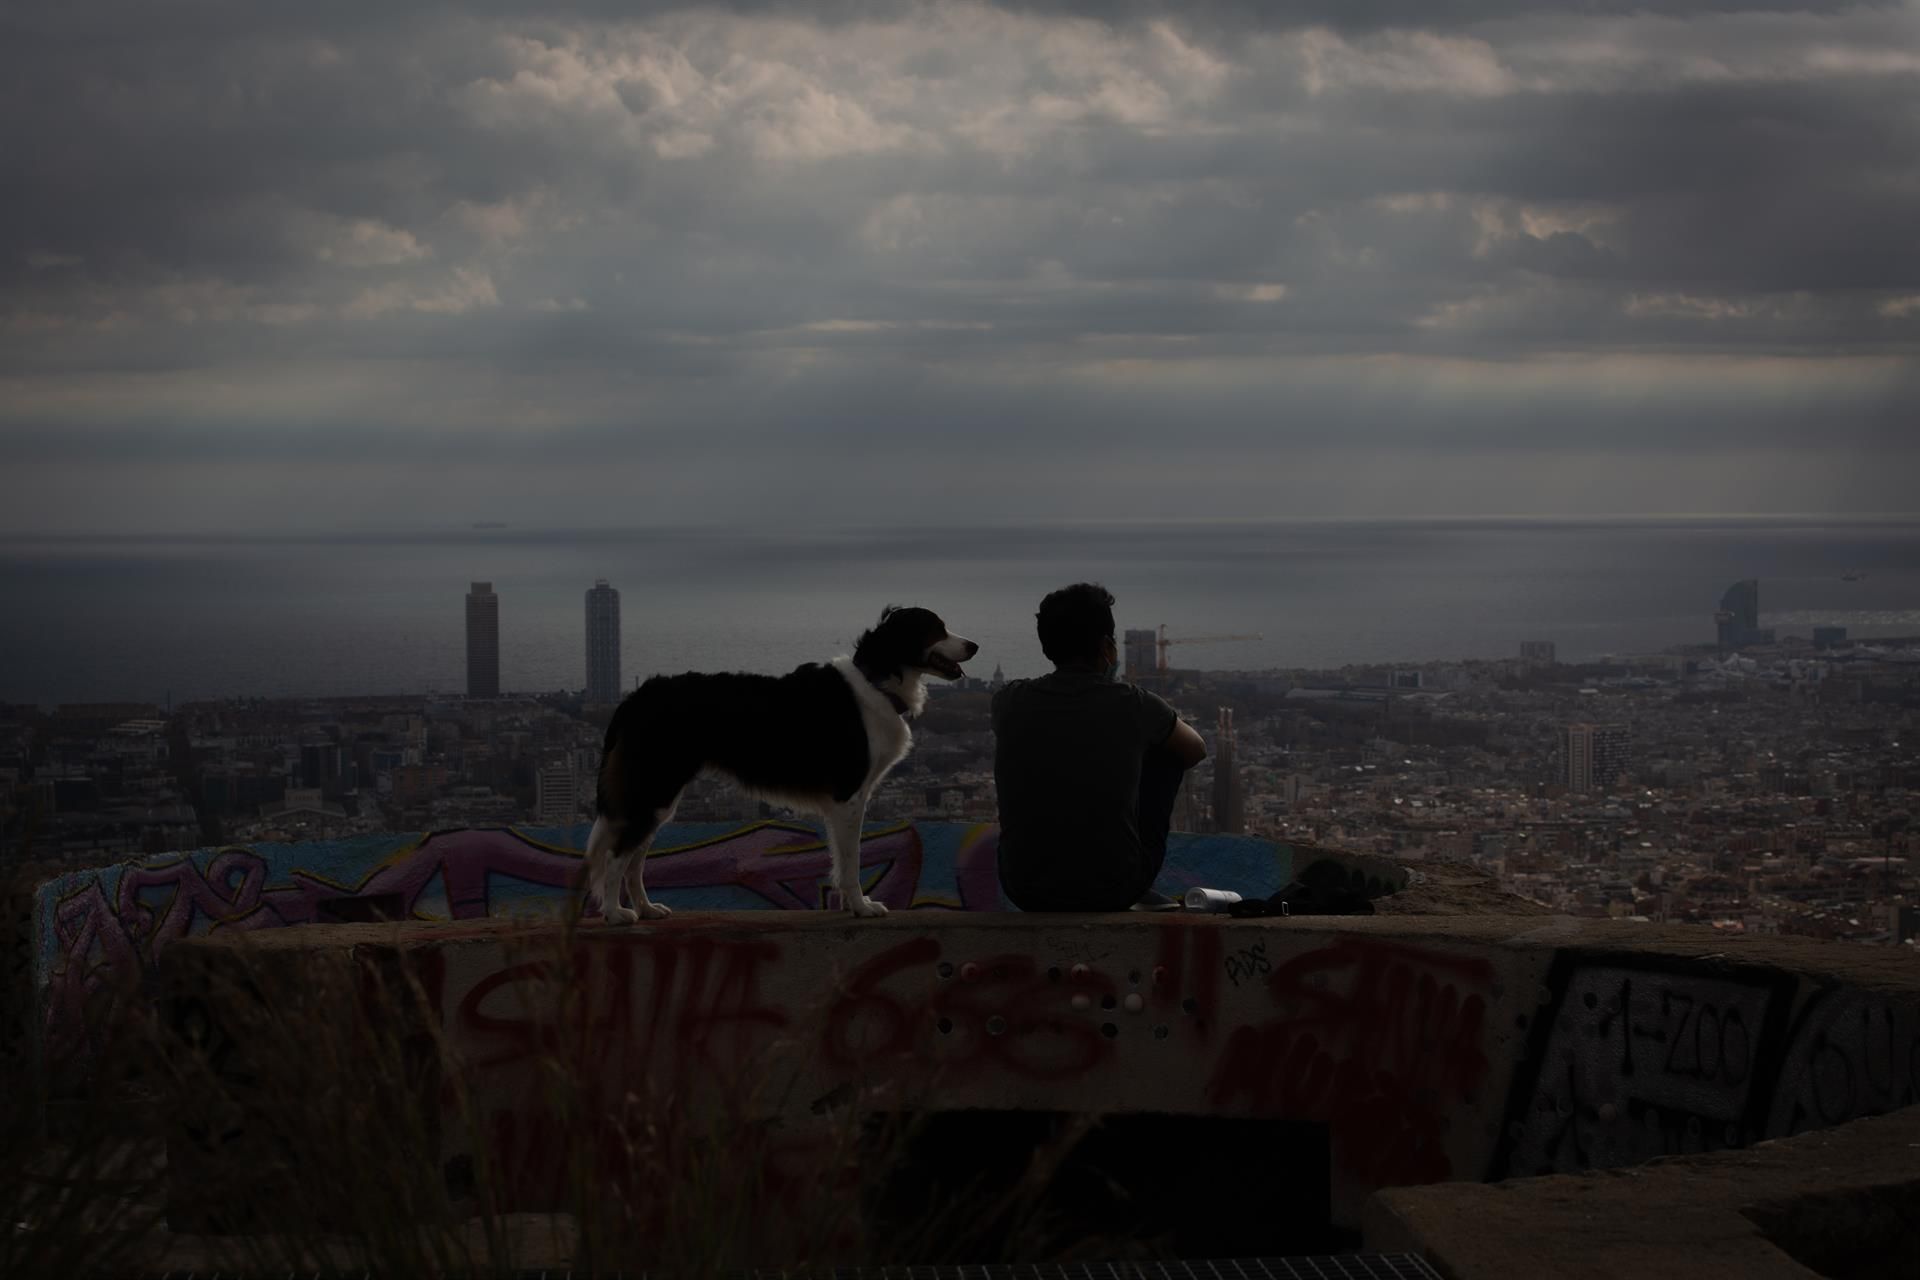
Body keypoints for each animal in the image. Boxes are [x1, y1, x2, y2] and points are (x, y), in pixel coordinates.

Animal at [579, 610, 975, 921]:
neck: (877, 680)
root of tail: (637, 696)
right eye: (936, 628)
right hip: (654, 790)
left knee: (635, 860)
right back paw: (615, 913)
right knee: (617, 856)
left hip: (657, 798)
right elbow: (851, 860)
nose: (974, 646)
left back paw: (646, 909)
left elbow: (839, 857)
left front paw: (850, 905)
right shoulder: (849, 795)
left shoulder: (843, 803)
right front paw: (862, 907)